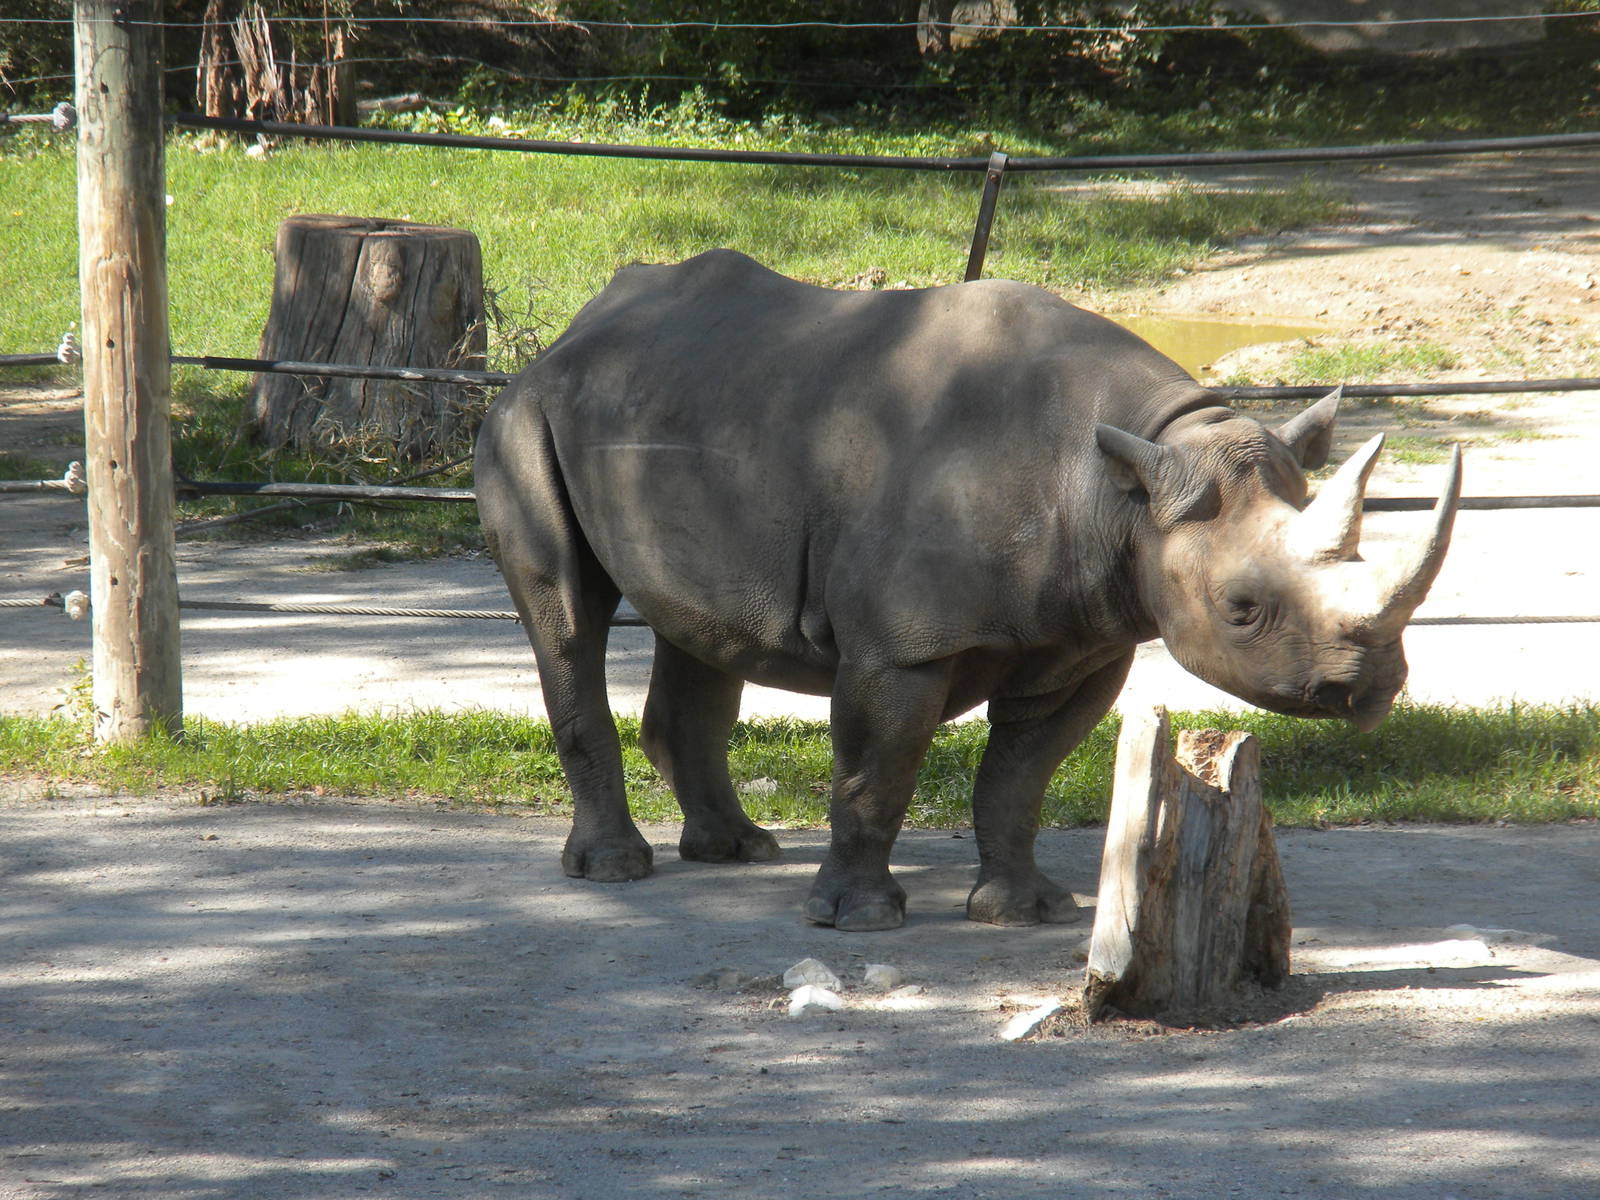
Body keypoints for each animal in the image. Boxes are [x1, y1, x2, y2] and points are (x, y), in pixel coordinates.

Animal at [475, 249, 1460, 932]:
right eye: (1242, 610)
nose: (1371, 689)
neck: (1124, 485)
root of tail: (570, 334)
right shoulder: (903, 647)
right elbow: (879, 769)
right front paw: (860, 920)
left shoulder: (1084, 640)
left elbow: (1020, 776)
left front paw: (1023, 910)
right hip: (525, 414)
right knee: (569, 617)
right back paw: (615, 868)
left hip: (681, 405)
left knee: (700, 631)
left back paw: (735, 852)